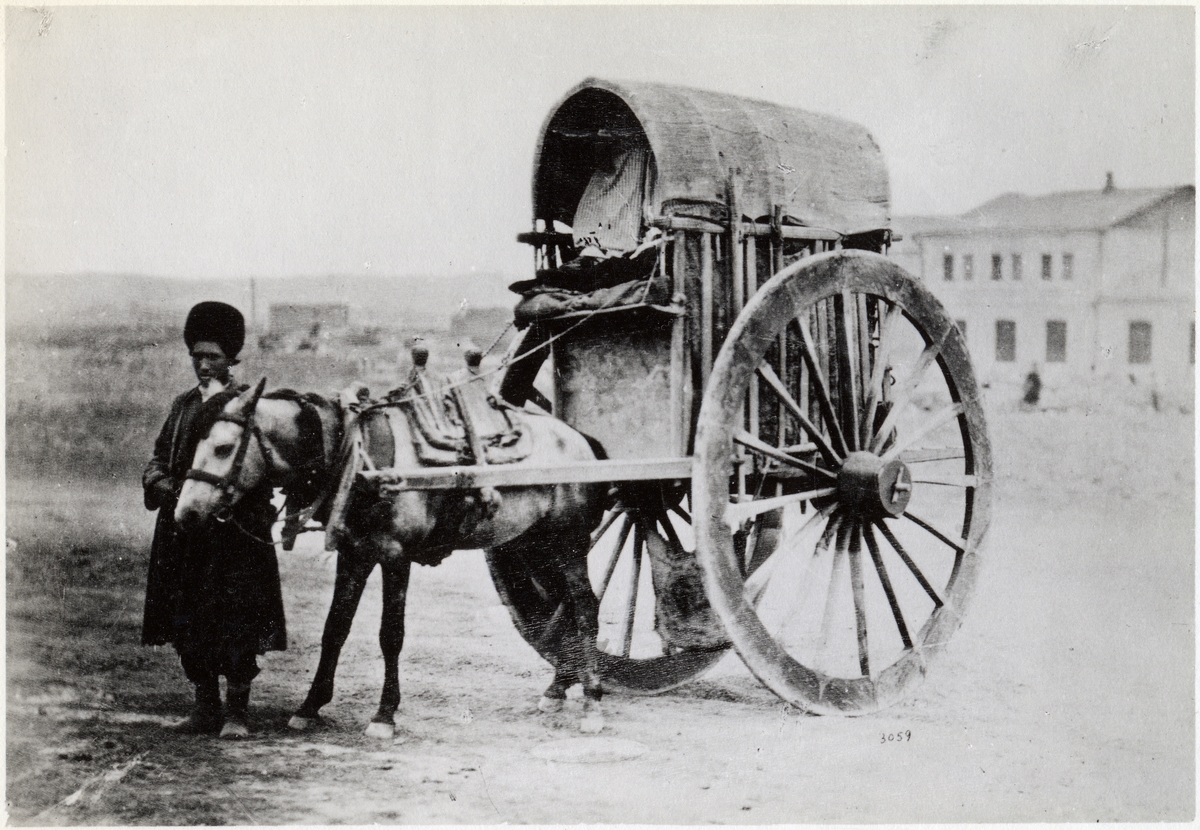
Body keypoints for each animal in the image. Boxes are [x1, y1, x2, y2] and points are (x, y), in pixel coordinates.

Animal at [174, 378, 611, 738]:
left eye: (223, 448)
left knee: (585, 607)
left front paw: (384, 715)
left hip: (569, 543)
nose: (185, 514)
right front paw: (310, 706)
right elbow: (335, 628)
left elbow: (391, 635)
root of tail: (579, 439)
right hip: (535, 544)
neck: (361, 459)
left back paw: (592, 701)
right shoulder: (353, 554)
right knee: (564, 606)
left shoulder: (395, 558)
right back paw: (557, 688)